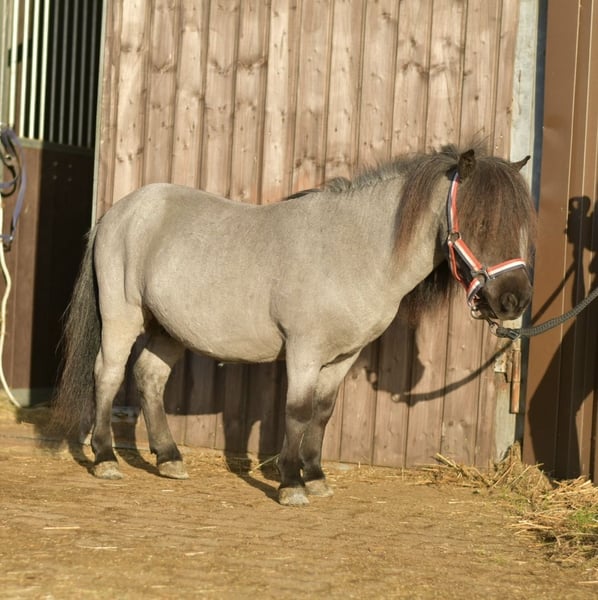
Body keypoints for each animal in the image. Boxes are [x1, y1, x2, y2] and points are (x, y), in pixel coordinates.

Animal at [52, 146, 536, 506]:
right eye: (479, 223)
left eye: (519, 224)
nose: (514, 299)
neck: (353, 249)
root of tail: (121, 210)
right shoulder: (304, 350)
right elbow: (297, 410)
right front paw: (290, 484)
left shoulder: (343, 357)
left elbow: (321, 412)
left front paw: (316, 476)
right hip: (122, 317)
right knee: (108, 374)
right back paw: (105, 458)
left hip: (167, 328)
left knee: (150, 377)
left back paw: (169, 459)